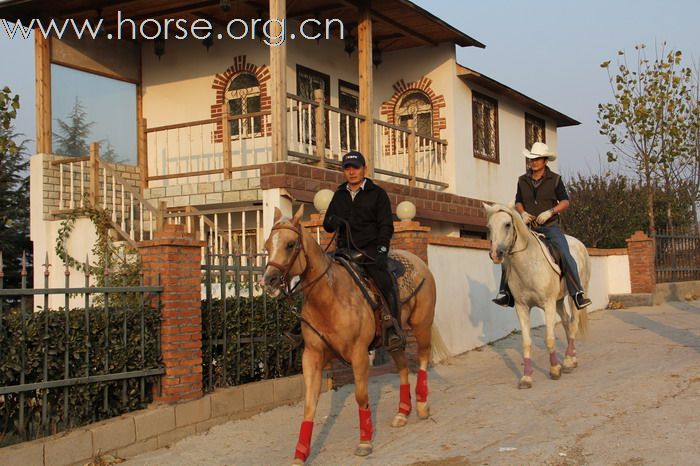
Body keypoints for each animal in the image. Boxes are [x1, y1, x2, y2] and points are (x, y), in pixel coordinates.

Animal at [262, 206, 438, 464]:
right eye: (267, 245)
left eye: (290, 244)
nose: (268, 281)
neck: (330, 298)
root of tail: (419, 263)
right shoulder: (312, 356)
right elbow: (309, 405)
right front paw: (300, 454)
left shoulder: (359, 354)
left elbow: (360, 396)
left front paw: (365, 442)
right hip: (392, 340)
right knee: (403, 366)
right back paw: (402, 412)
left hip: (422, 326)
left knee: (423, 359)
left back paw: (423, 406)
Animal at [486, 204, 592, 390]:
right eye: (489, 227)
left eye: (507, 224)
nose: (495, 255)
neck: (528, 264)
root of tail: (579, 244)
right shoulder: (522, 307)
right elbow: (526, 343)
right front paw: (526, 378)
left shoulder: (548, 304)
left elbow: (549, 339)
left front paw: (555, 370)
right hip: (559, 301)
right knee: (566, 322)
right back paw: (571, 358)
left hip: (574, 296)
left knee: (573, 324)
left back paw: (568, 361)